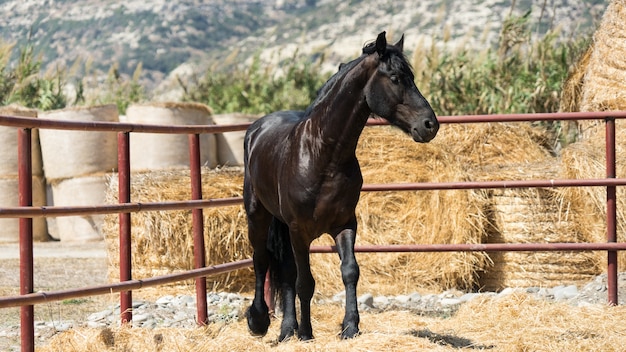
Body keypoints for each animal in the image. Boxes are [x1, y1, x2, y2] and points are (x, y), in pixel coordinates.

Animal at [241, 31, 436, 340]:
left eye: (412, 77)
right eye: (395, 78)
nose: (430, 124)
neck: (323, 154)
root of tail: (256, 129)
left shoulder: (345, 224)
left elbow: (350, 271)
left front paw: (350, 326)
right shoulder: (299, 231)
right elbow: (305, 282)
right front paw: (306, 333)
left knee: (285, 272)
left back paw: (286, 329)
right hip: (257, 215)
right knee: (262, 261)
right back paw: (261, 321)